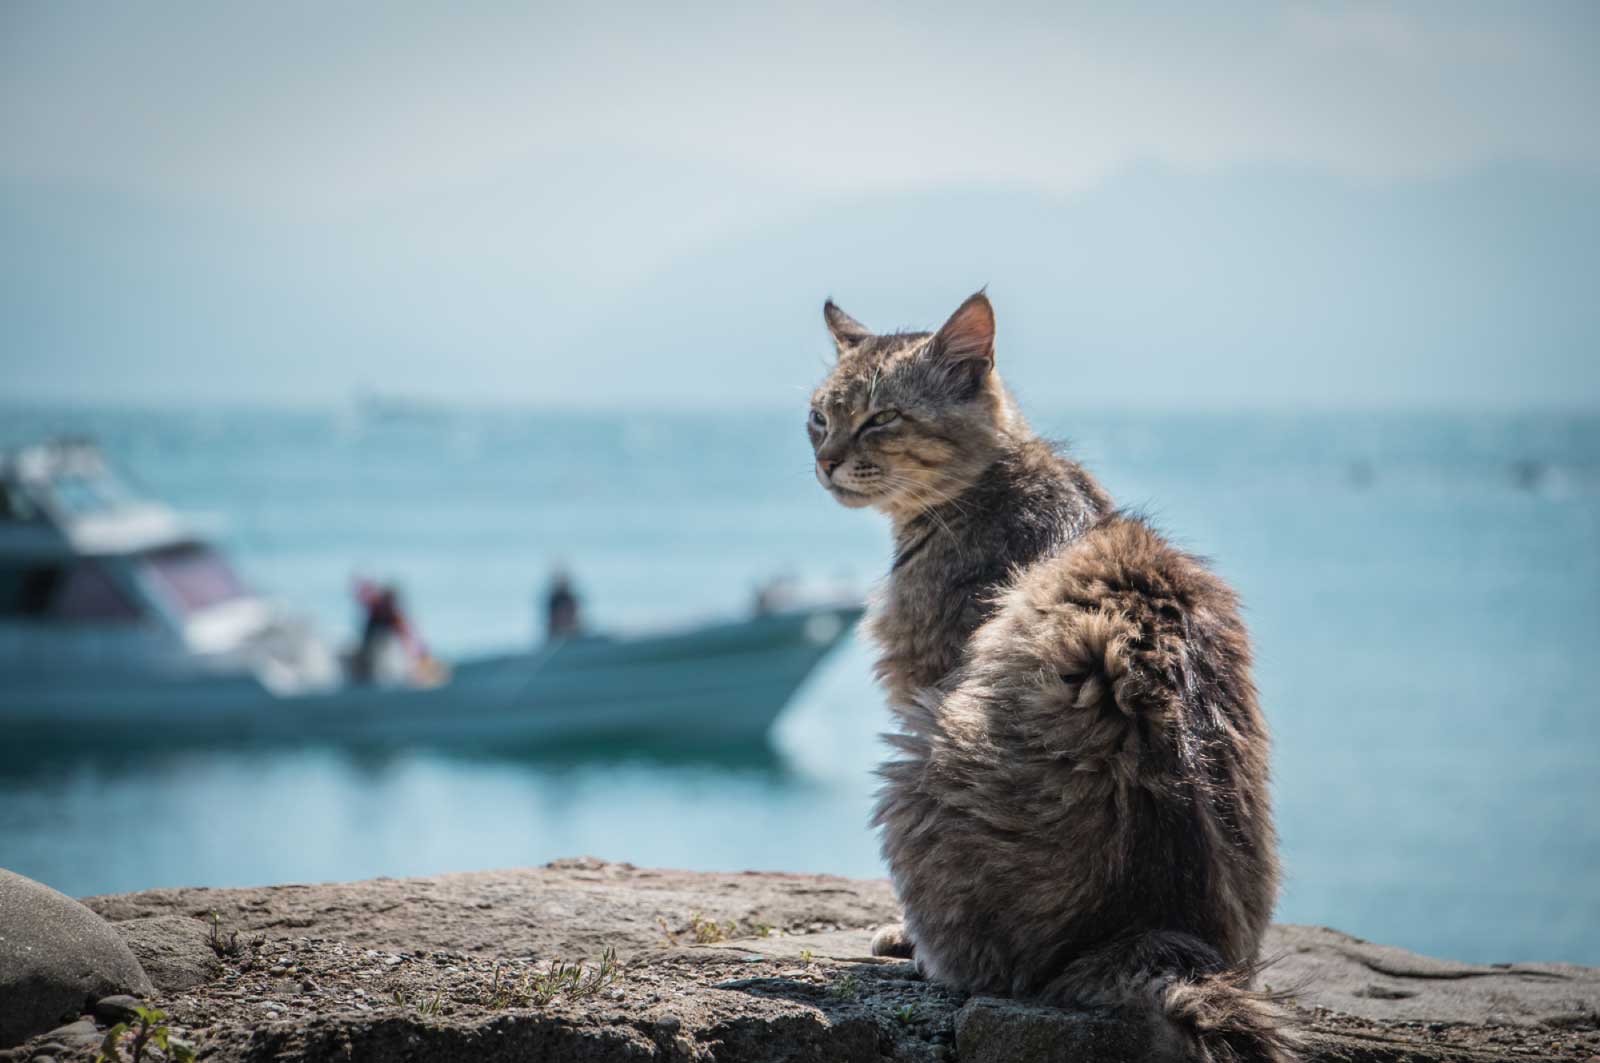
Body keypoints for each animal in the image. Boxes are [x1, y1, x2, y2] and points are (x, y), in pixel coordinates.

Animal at [806, 291, 1292, 1063]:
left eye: (881, 417)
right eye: (819, 416)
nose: (825, 461)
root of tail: (1149, 931)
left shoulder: (926, 677)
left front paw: (901, 936)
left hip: (915, 754)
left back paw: (930, 954)